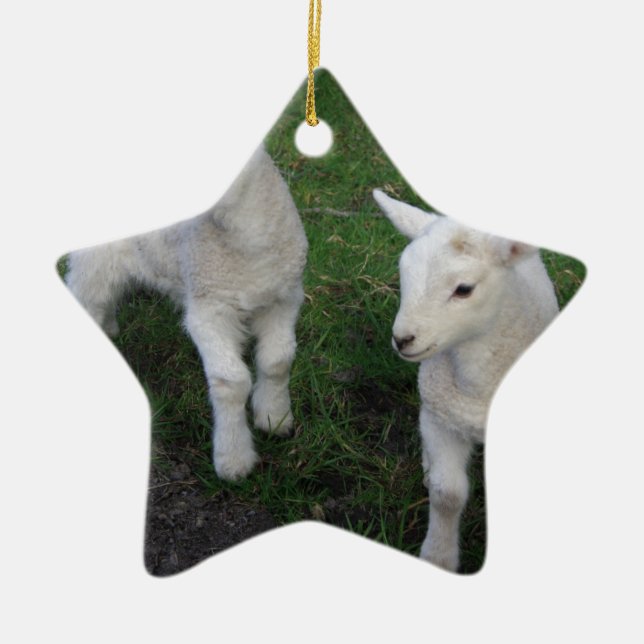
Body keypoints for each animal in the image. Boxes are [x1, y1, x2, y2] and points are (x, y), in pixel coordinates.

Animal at [65, 145, 308, 481]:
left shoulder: (284, 298)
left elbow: (277, 362)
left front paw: (275, 417)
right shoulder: (208, 310)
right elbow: (231, 382)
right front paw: (233, 460)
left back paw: (110, 329)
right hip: (94, 260)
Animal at [373, 189, 559, 572]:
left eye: (463, 289)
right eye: (403, 272)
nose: (403, 339)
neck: (476, 387)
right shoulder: (441, 418)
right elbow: (448, 494)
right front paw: (438, 557)